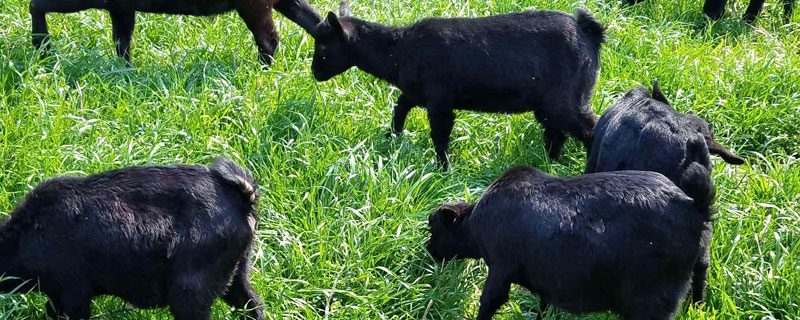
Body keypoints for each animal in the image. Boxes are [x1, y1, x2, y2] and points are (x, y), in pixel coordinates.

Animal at [0, 158, 264, 320]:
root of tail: (243, 199)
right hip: (237, 274)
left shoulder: (74, 291)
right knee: (254, 305)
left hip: (190, 291)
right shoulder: (57, 294)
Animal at [310, 1, 604, 170]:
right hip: (551, 102)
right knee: (558, 132)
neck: (397, 50)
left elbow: (439, 135)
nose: (314, 73)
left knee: (589, 128)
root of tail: (589, 33)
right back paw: (549, 162)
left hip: (566, 97)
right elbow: (399, 108)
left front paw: (443, 170)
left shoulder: (440, 100)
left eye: (323, 45)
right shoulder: (417, 93)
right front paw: (392, 138)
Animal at [428, 166, 716, 318]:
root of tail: (694, 206)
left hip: (652, 300)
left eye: (433, 228)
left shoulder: (500, 268)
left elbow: (489, 302)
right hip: (698, 264)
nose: (429, 250)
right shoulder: (545, 279)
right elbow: (543, 305)